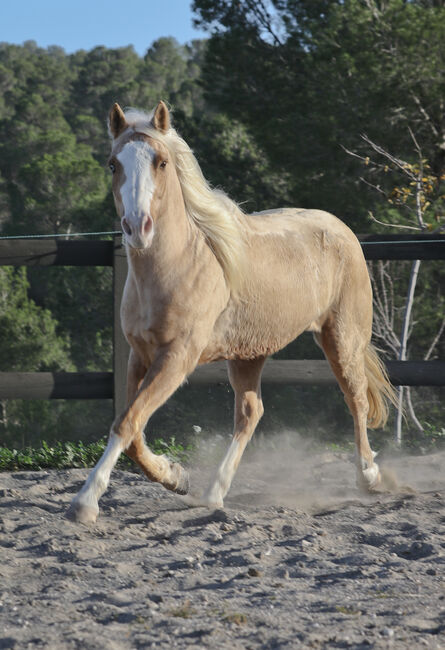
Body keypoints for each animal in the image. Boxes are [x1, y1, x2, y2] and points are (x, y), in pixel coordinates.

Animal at [67, 100, 394, 520]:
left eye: (161, 162)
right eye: (112, 164)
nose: (138, 227)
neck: (179, 263)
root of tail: (342, 229)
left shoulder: (177, 359)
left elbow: (127, 423)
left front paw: (85, 502)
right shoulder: (139, 356)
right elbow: (133, 430)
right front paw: (176, 476)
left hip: (341, 339)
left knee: (355, 399)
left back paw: (368, 476)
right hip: (249, 355)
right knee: (250, 414)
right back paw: (212, 494)